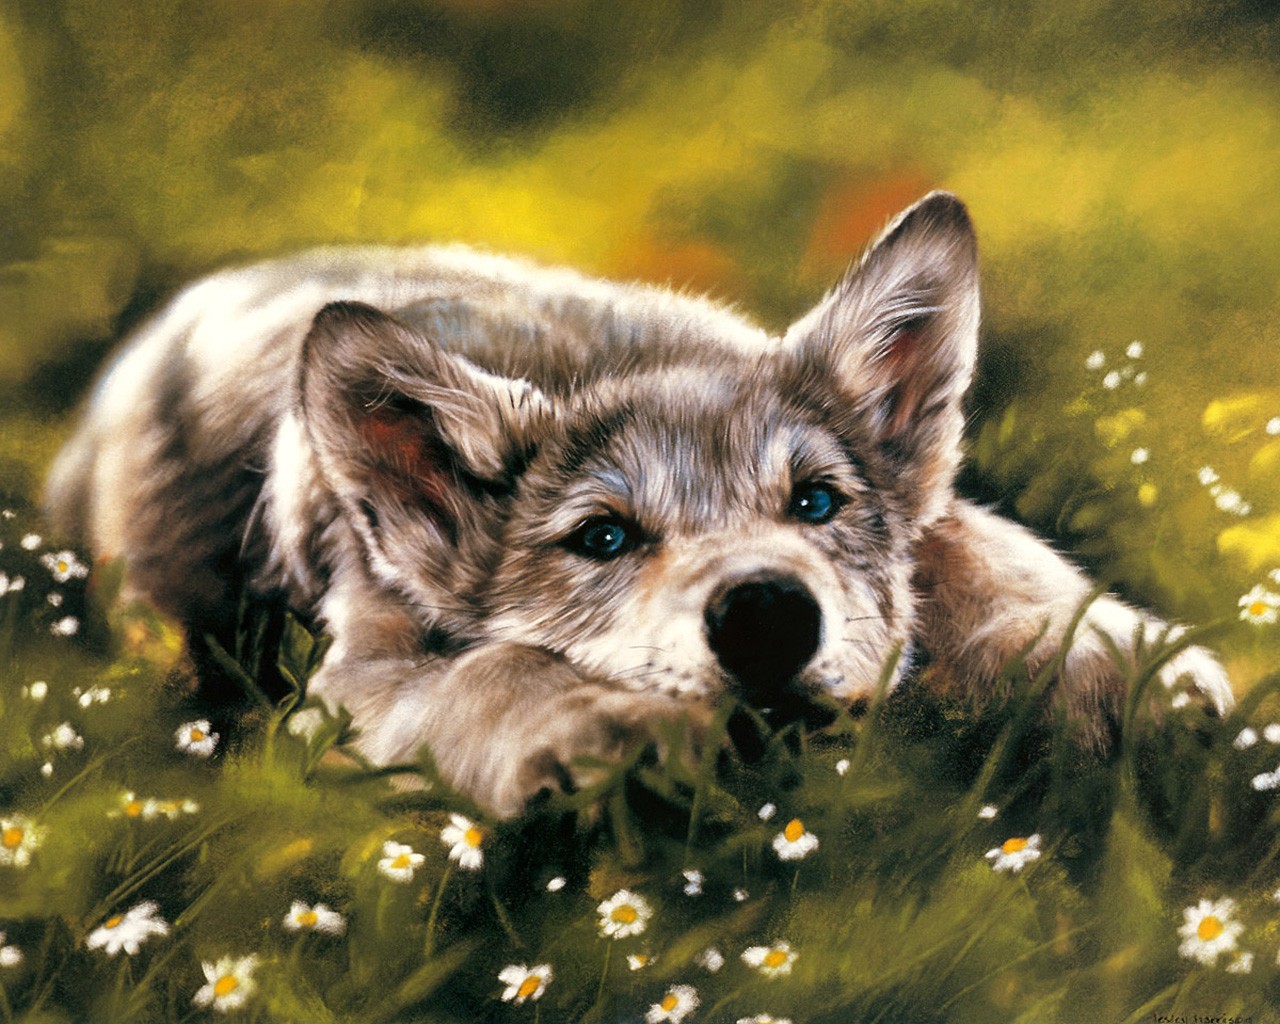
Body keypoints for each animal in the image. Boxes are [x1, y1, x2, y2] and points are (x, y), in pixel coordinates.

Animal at [46, 192, 1234, 815]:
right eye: (601, 537)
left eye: (815, 501)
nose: (766, 615)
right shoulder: (359, 675)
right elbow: (491, 671)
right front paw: (599, 727)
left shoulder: (932, 520)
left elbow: (980, 547)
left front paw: (1111, 660)